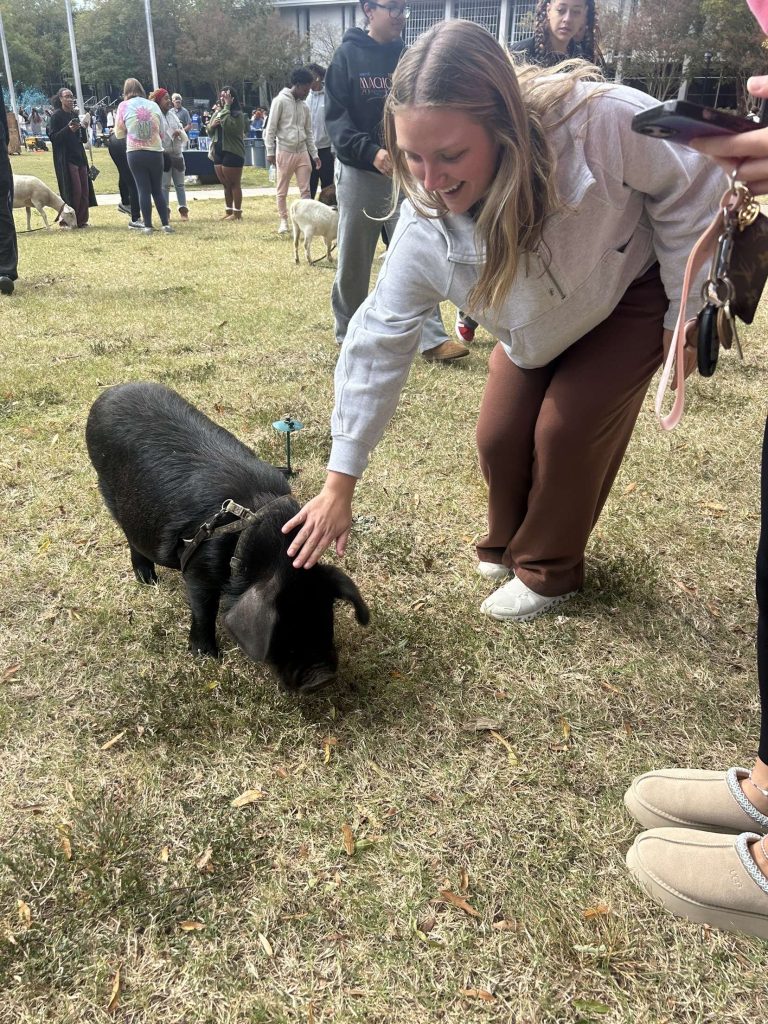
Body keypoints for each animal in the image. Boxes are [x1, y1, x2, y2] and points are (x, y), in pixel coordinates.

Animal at [85, 382, 369, 693]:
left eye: (325, 617)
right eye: (282, 633)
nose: (322, 678)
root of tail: (109, 393)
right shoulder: (199, 567)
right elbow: (204, 610)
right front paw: (206, 656)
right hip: (110, 492)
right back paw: (148, 580)